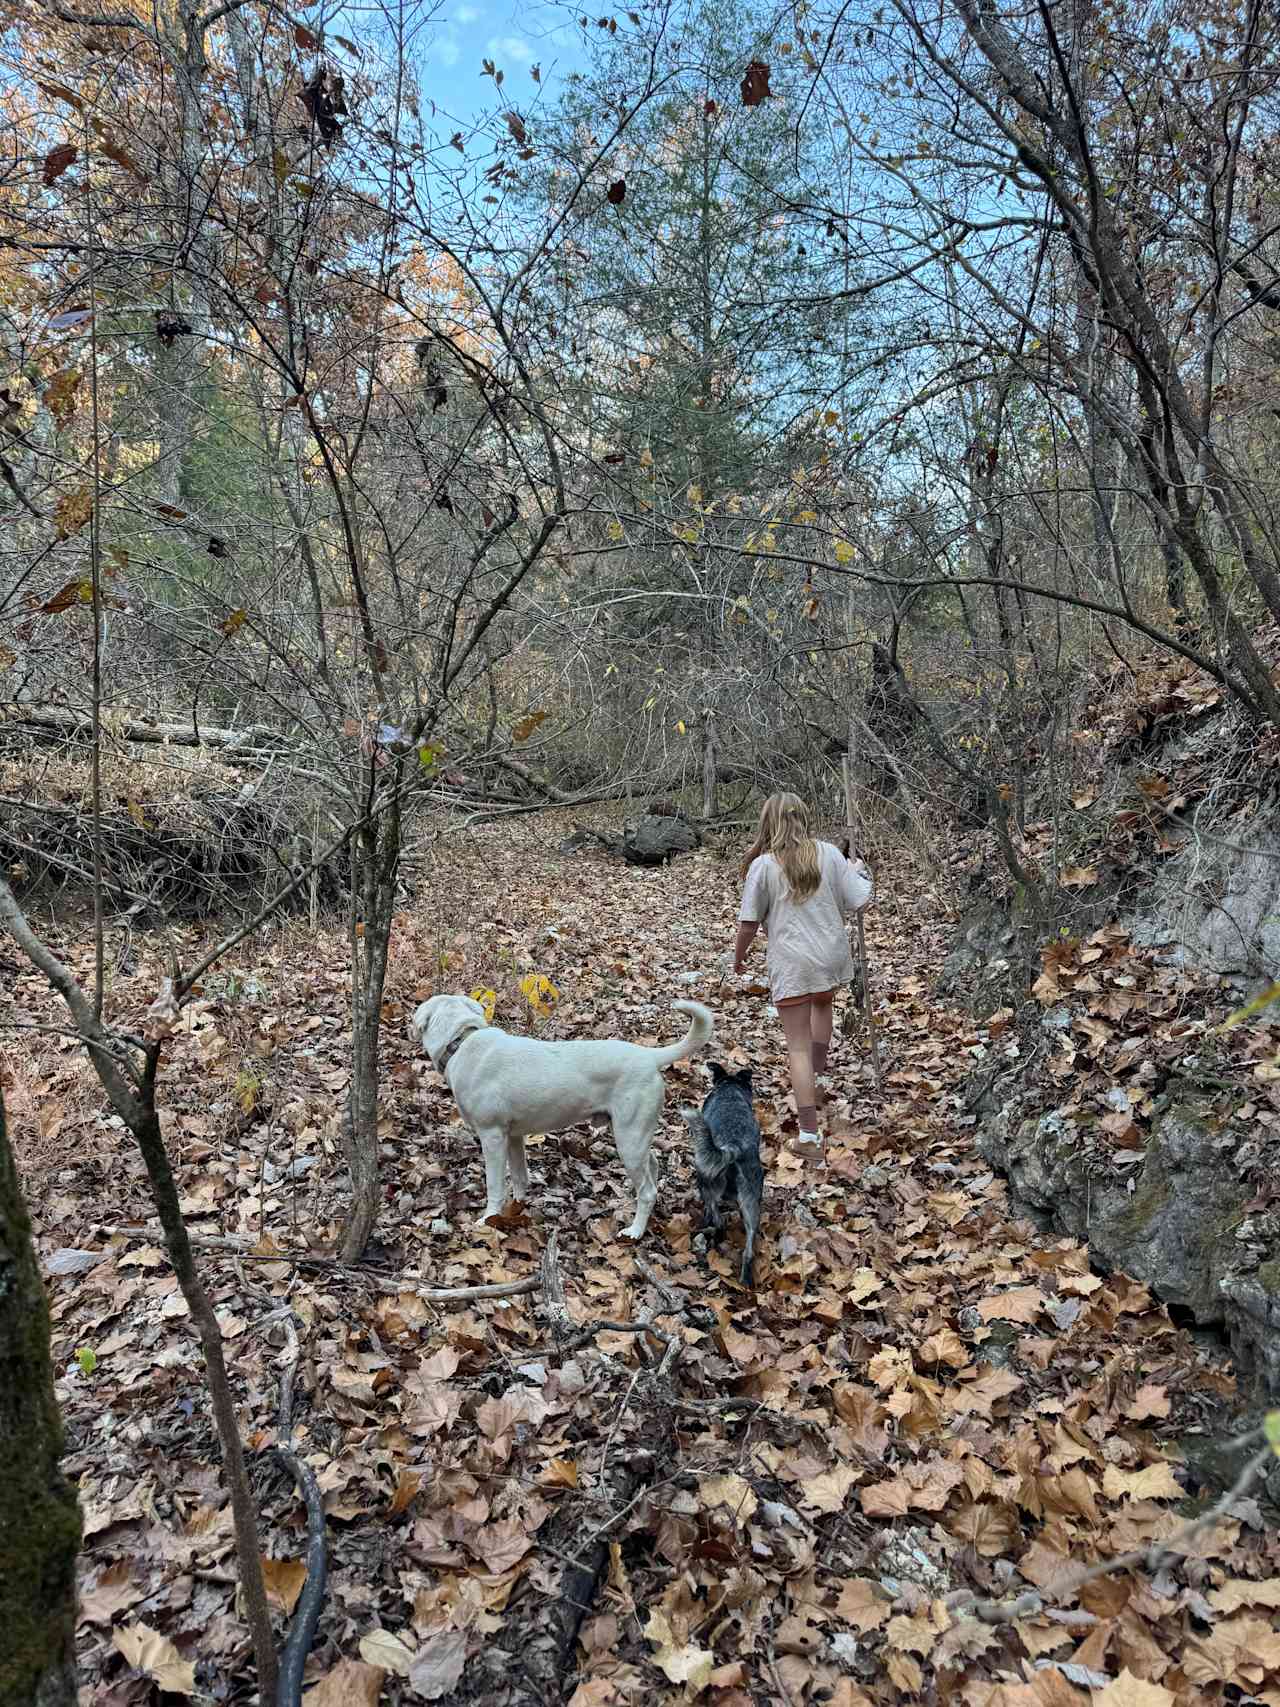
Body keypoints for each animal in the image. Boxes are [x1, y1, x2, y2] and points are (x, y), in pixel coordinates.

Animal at [411, 990, 713, 1242]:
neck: (461, 1042)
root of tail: (649, 1057)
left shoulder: (492, 1136)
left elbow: (495, 1185)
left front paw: (489, 1219)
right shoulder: (513, 1137)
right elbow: (519, 1177)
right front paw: (517, 1209)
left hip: (629, 1140)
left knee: (647, 1191)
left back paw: (635, 1231)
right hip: (637, 1136)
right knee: (652, 1167)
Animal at [682, 1058, 761, 1283]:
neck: (730, 1089)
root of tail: (734, 1146)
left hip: (706, 1183)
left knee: (718, 1220)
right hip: (752, 1203)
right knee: (749, 1250)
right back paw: (745, 1280)